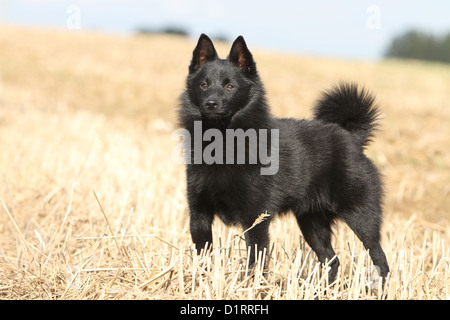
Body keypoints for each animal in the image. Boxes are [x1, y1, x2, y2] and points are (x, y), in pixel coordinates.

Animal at [178, 33, 388, 282]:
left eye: (230, 86)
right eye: (203, 85)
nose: (211, 103)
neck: (224, 143)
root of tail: (352, 138)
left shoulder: (255, 219)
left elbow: (255, 262)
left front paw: (252, 286)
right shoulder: (199, 215)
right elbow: (203, 259)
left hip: (361, 217)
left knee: (380, 259)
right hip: (312, 223)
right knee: (332, 260)